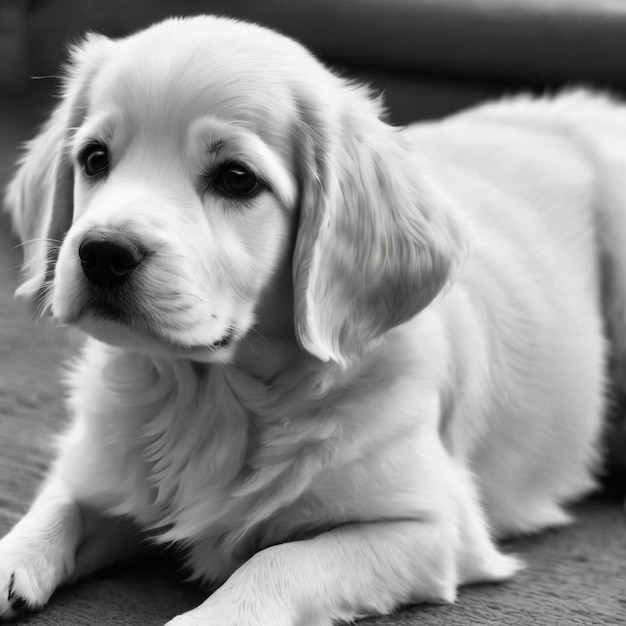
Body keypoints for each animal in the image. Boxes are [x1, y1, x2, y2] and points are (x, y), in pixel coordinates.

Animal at [1, 13, 624, 624]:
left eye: (236, 178)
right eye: (94, 159)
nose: (103, 253)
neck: (212, 394)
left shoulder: (432, 526)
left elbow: (280, 561)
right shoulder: (97, 460)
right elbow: (59, 505)